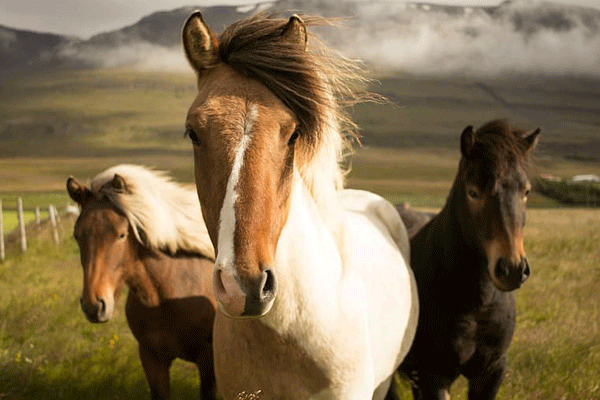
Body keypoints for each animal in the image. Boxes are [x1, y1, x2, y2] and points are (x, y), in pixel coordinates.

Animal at [386, 119, 540, 400]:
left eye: (526, 191)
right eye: (473, 192)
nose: (512, 269)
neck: (476, 304)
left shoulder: (491, 372)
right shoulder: (434, 375)